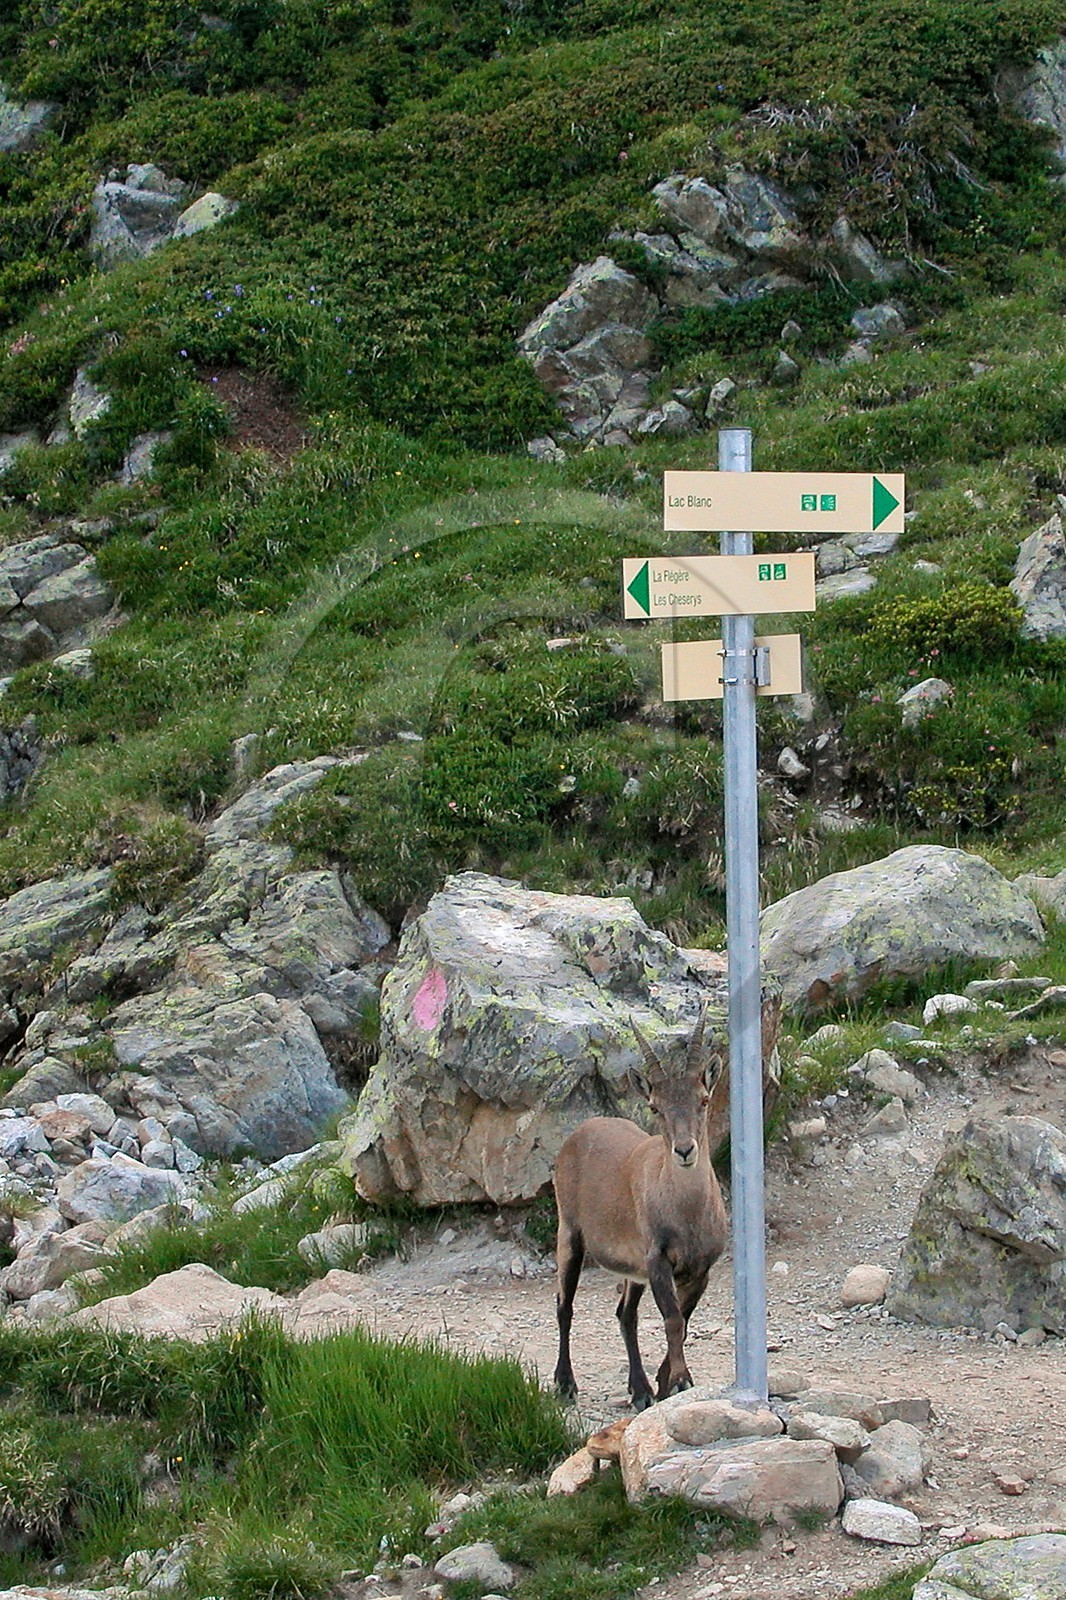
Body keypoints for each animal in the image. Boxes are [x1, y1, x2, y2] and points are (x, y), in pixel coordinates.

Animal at [552, 1009, 726, 1410]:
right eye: (655, 1107)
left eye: (703, 1100)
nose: (684, 1150)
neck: (687, 1214)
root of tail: (583, 1129)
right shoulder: (657, 1260)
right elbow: (673, 1320)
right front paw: (680, 1381)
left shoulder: (700, 1270)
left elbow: (684, 1320)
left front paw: (664, 1384)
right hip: (569, 1232)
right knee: (564, 1305)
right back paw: (565, 1384)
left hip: (632, 1269)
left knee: (625, 1314)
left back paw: (641, 1389)